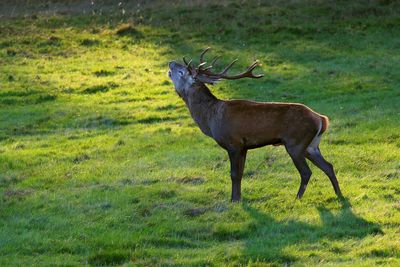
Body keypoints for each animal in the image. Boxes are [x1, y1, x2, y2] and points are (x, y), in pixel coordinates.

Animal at [167, 48, 342, 203]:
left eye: (182, 72)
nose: (171, 63)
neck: (210, 119)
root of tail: (321, 119)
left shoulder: (233, 143)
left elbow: (234, 174)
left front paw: (234, 200)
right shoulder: (244, 147)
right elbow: (241, 173)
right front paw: (238, 198)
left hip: (296, 143)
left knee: (306, 172)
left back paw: (297, 198)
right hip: (311, 145)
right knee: (328, 166)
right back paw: (339, 195)